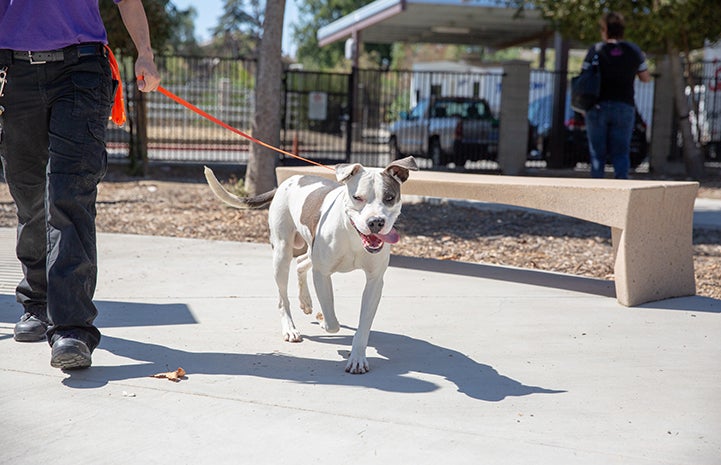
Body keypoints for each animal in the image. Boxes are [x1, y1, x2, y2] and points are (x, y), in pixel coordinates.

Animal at [202, 157, 416, 374]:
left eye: (389, 197)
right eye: (357, 197)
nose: (376, 222)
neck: (353, 235)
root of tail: (286, 182)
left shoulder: (374, 281)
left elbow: (363, 325)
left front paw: (357, 358)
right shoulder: (322, 273)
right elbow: (332, 322)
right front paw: (324, 320)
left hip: (309, 250)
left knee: (301, 262)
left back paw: (305, 302)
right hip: (282, 253)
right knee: (283, 297)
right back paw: (290, 328)